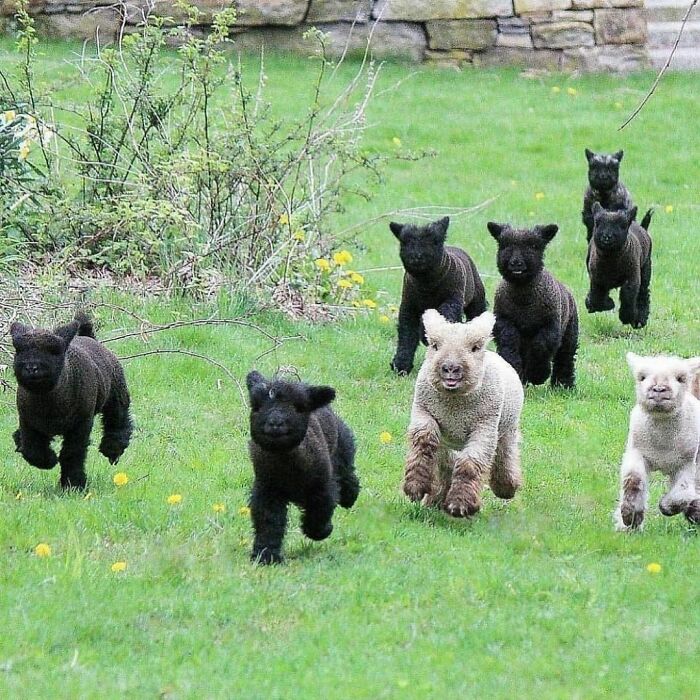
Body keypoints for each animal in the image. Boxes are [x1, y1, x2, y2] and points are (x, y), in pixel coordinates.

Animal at [11, 312, 132, 491]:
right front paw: (49, 461)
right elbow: (32, 450)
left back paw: (112, 450)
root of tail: (87, 336)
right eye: (19, 349)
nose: (31, 367)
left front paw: (73, 485)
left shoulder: (81, 424)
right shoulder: (28, 422)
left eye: (55, 350)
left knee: (118, 419)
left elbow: (72, 454)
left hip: (117, 392)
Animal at [246, 371, 360, 565]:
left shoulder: (322, 487)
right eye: (256, 407)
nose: (275, 423)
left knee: (348, 475)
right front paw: (266, 556)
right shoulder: (267, 490)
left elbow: (321, 511)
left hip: (343, 446)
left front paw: (321, 532)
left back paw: (349, 497)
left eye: (299, 407)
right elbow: (268, 522)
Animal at [389, 216, 487, 376]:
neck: (426, 285)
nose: (417, 256)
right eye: (405, 242)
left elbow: (443, 314)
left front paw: (425, 336)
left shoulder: (452, 300)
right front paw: (401, 366)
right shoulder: (408, 307)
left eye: (434, 241)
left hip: (476, 300)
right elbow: (406, 335)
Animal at [402, 310, 524, 518]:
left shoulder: (485, 426)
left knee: (505, 456)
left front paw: (460, 504)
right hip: (446, 442)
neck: (456, 408)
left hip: (506, 428)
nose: (451, 368)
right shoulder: (424, 411)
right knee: (446, 466)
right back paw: (435, 499)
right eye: (434, 345)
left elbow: (470, 463)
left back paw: (506, 487)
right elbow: (424, 440)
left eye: (475, 348)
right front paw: (415, 486)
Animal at [615, 353, 700, 530]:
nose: (659, 389)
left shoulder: (687, 463)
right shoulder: (637, 452)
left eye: (681, 378)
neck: (663, 444)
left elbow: (682, 493)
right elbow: (633, 480)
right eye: (641, 377)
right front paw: (630, 518)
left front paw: (667, 507)